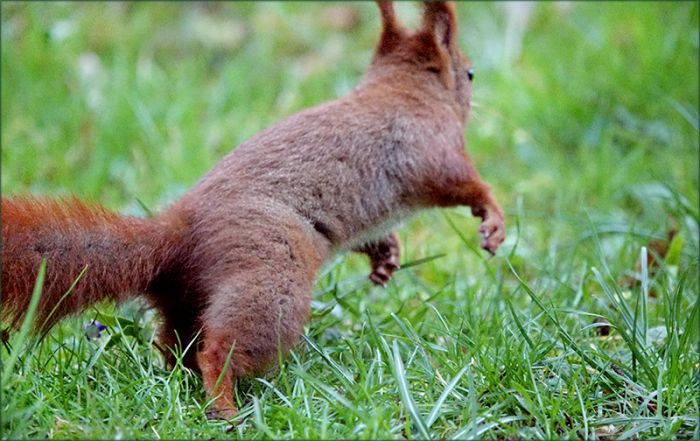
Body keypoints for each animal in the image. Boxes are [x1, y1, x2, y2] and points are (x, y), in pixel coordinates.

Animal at [1, 1, 505, 419]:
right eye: (469, 73)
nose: (478, 93)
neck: (401, 91)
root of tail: (178, 233)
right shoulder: (427, 149)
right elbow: (463, 184)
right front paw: (493, 219)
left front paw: (386, 255)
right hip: (272, 279)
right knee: (218, 349)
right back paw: (225, 408)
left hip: (186, 295)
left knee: (176, 341)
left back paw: (182, 380)